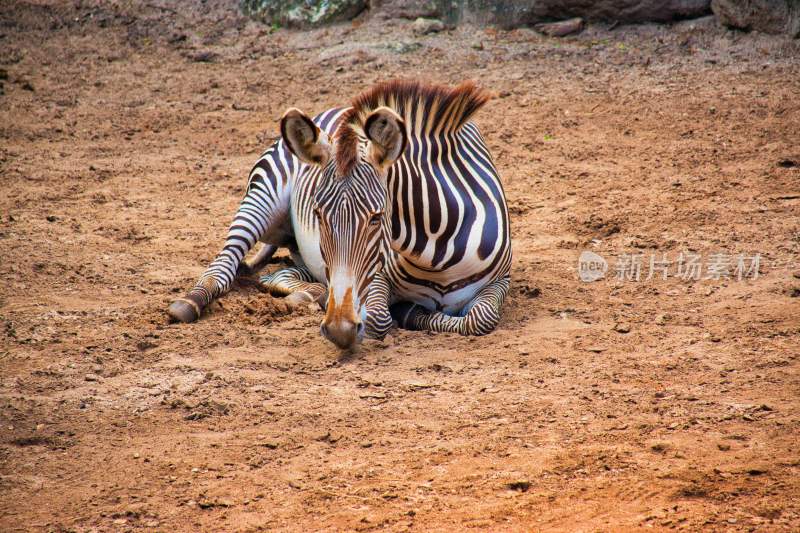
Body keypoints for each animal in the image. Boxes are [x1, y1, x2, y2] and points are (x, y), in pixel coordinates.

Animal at [170, 80, 512, 350]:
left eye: (376, 218)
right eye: (318, 215)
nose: (338, 328)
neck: (435, 257)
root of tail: (337, 108)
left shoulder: (501, 281)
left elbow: (481, 318)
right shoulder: (376, 278)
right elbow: (378, 317)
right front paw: (406, 313)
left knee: (281, 275)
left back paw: (308, 295)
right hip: (262, 194)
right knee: (224, 264)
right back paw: (189, 302)